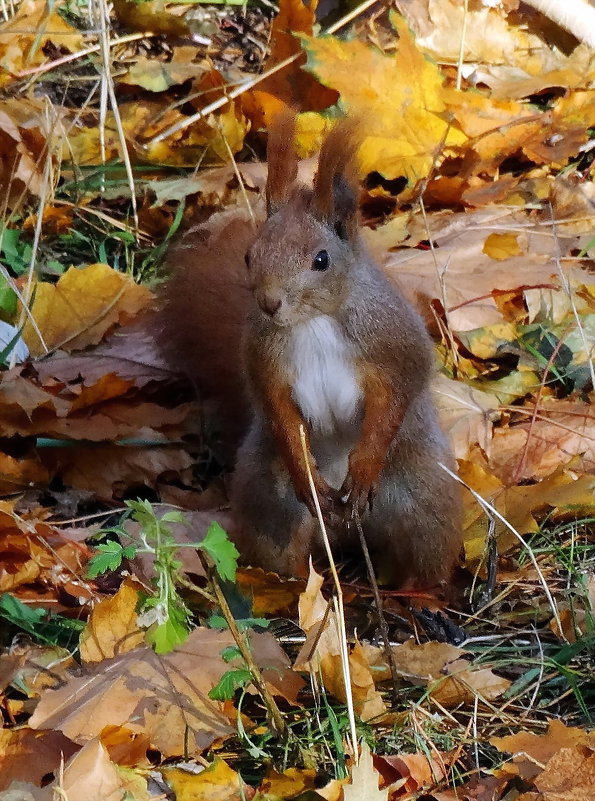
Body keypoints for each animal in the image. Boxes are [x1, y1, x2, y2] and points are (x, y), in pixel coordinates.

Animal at [161, 114, 464, 588]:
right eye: (249, 256)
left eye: (321, 260)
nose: (268, 303)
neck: (313, 323)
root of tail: (346, 536)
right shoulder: (265, 362)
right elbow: (280, 412)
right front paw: (309, 475)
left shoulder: (393, 343)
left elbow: (394, 398)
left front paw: (364, 465)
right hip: (273, 502)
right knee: (286, 551)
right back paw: (286, 586)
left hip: (423, 498)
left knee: (425, 556)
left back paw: (418, 595)